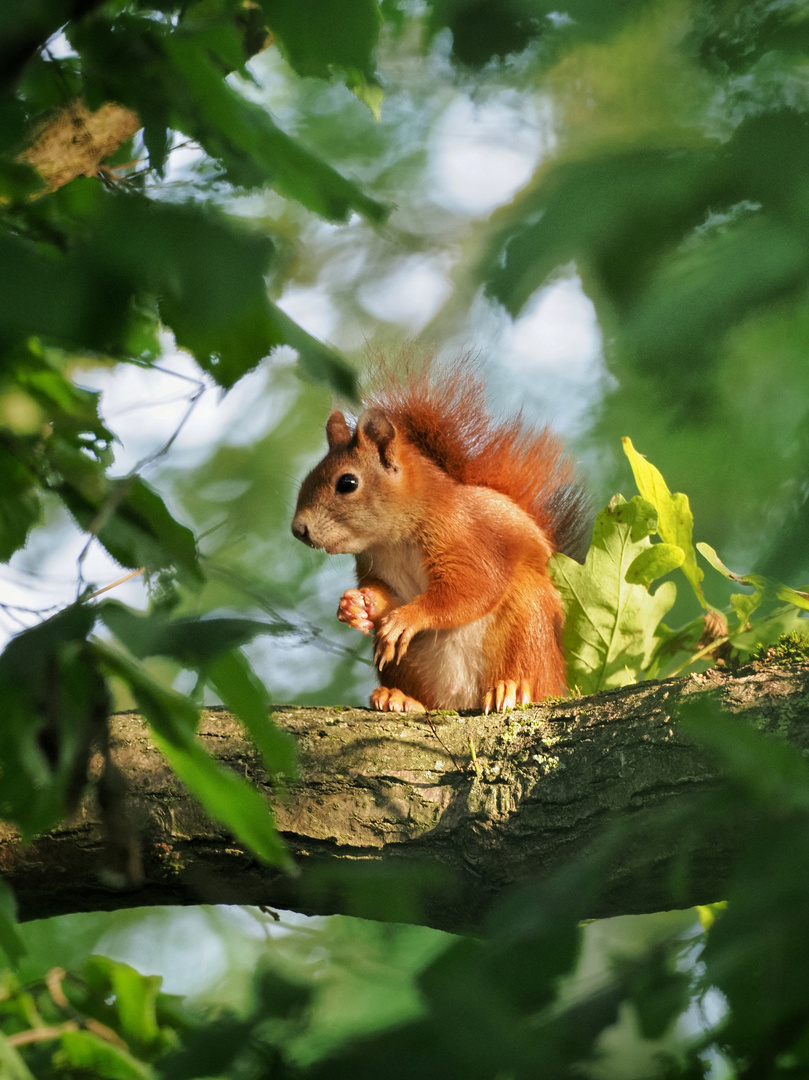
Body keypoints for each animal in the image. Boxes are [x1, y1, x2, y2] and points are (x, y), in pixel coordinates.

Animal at [289, 367, 587, 712]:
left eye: (347, 483)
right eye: (308, 477)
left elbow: (472, 588)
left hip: (530, 624)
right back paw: (400, 698)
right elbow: (386, 596)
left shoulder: (466, 537)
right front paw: (356, 605)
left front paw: (408, 618)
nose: (298, 530)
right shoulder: (375, 564)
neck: (392, 542)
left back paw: (512, 689)